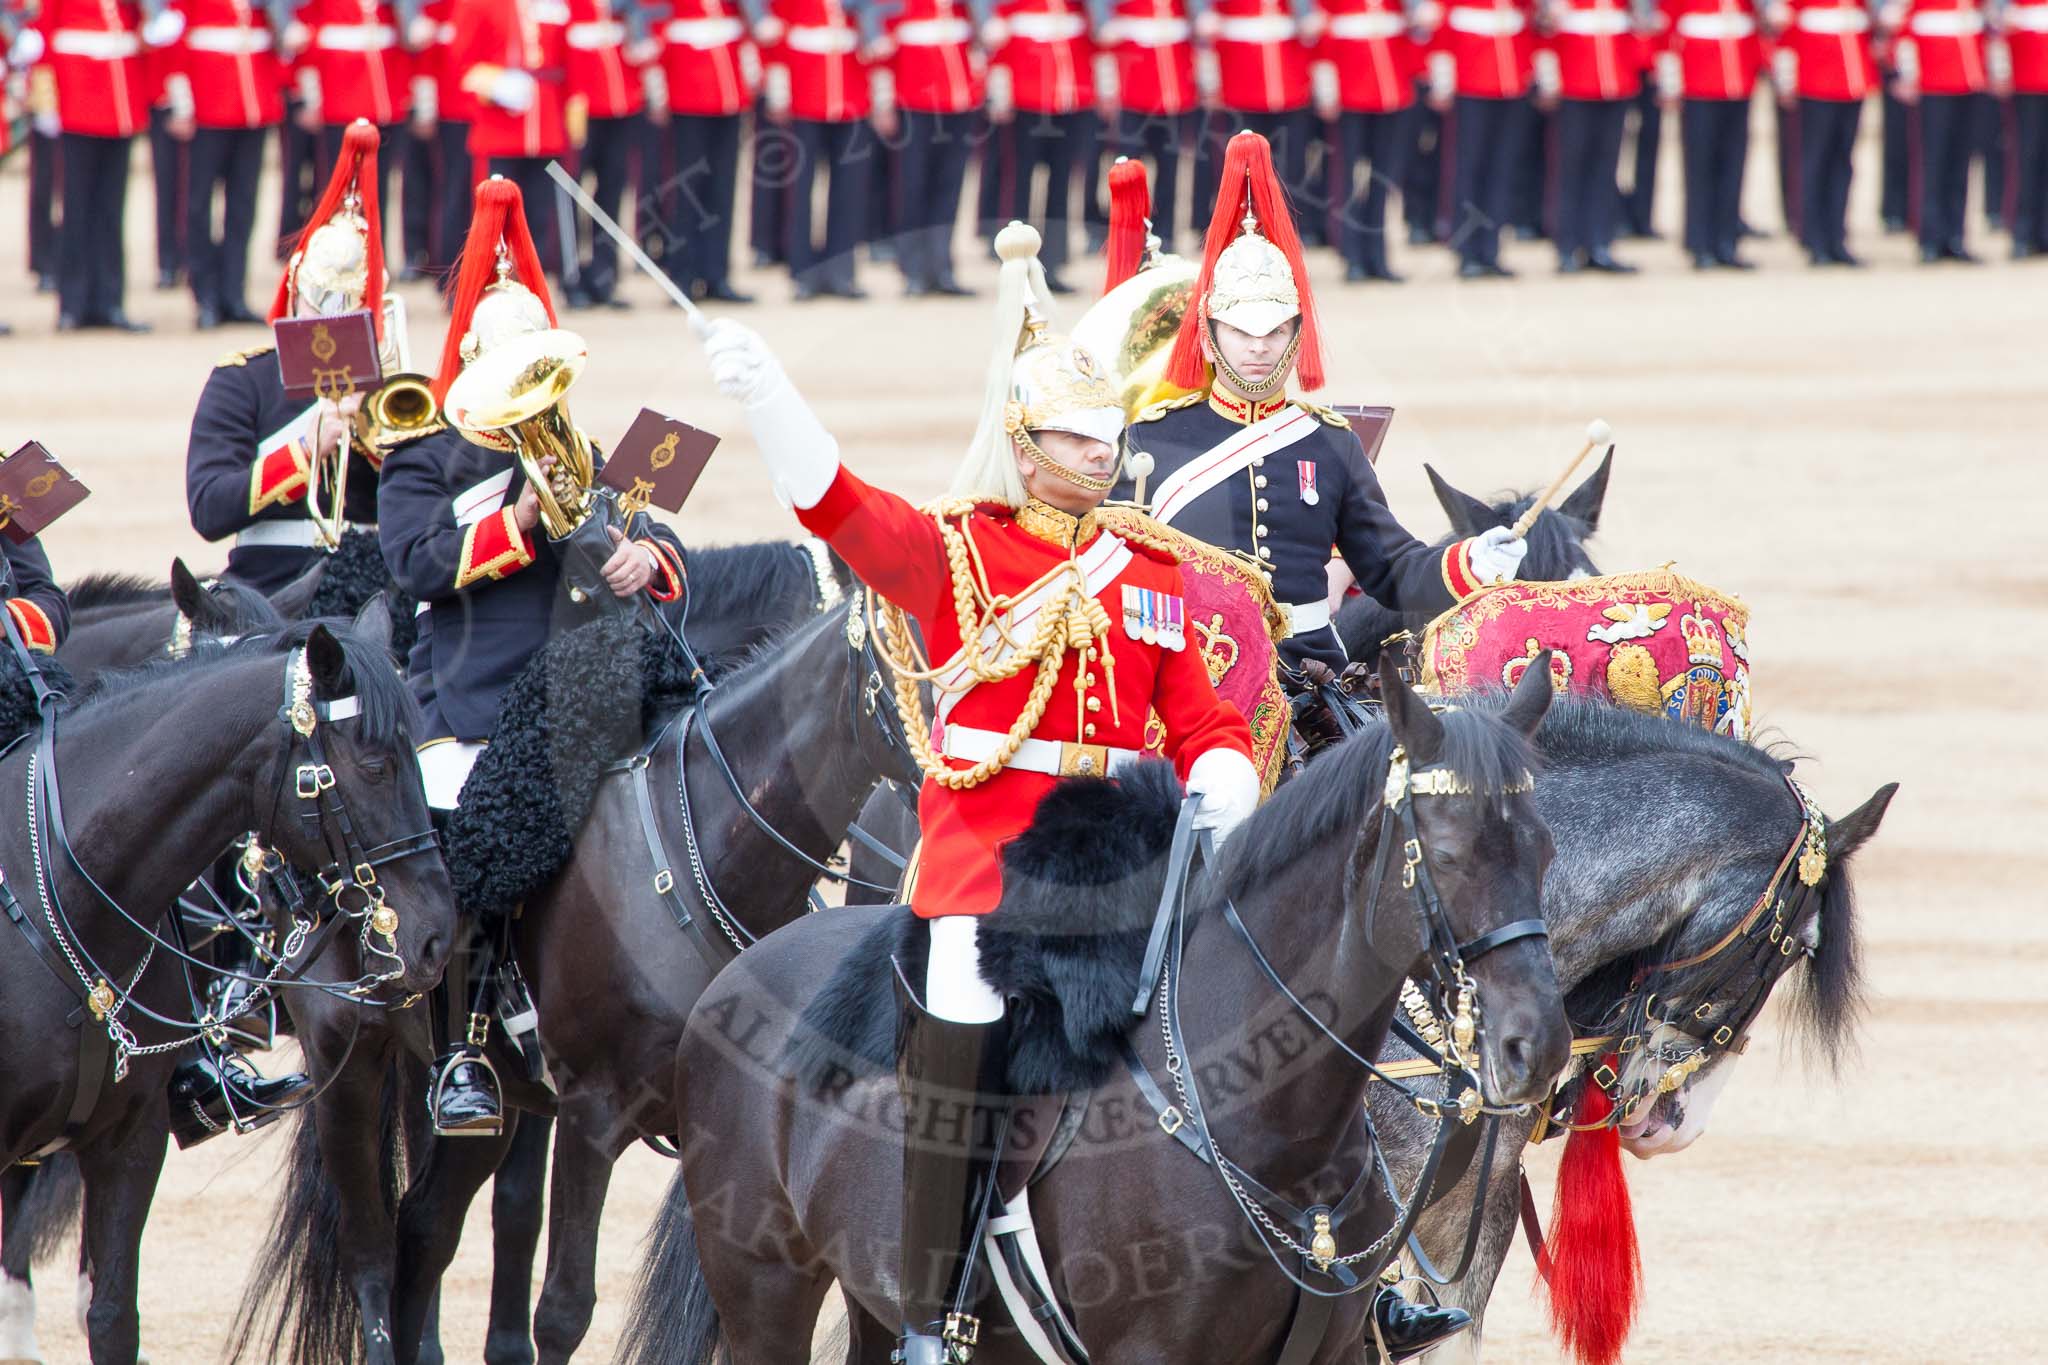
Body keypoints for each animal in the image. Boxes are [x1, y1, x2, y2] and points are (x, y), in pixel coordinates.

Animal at [614, 654, 1556, 1365]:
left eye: (1543, 848)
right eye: (1444, 852)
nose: (1536, 1047)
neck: (1276, 1137)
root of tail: (742, 973)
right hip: (764, 1288)